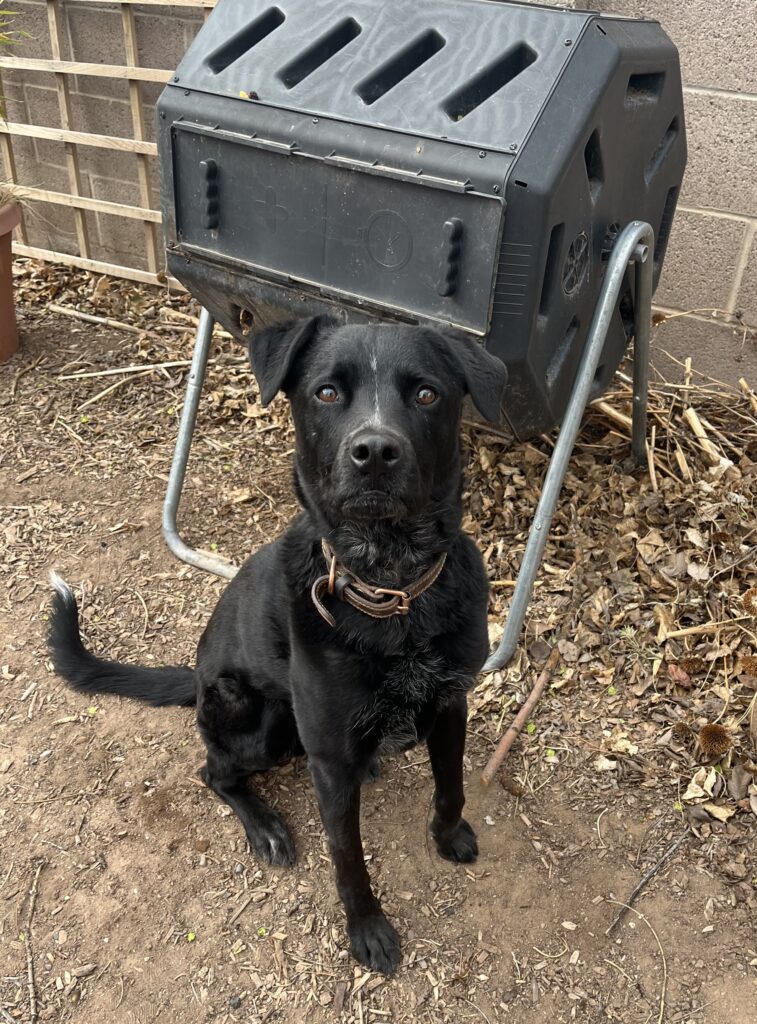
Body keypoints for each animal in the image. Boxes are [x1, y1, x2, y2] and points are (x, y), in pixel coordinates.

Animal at [48, 319, 510, 974]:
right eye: (326, 393)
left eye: (426, 394)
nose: (374, 452)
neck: (391, 586)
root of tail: (194, 675)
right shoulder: (331, 764)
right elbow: (348, 858)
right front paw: (367, 929)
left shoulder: (450, 704)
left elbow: (451, 787)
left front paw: (449, 837)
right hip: (257, 717)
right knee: (213, 772)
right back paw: (263, 824)